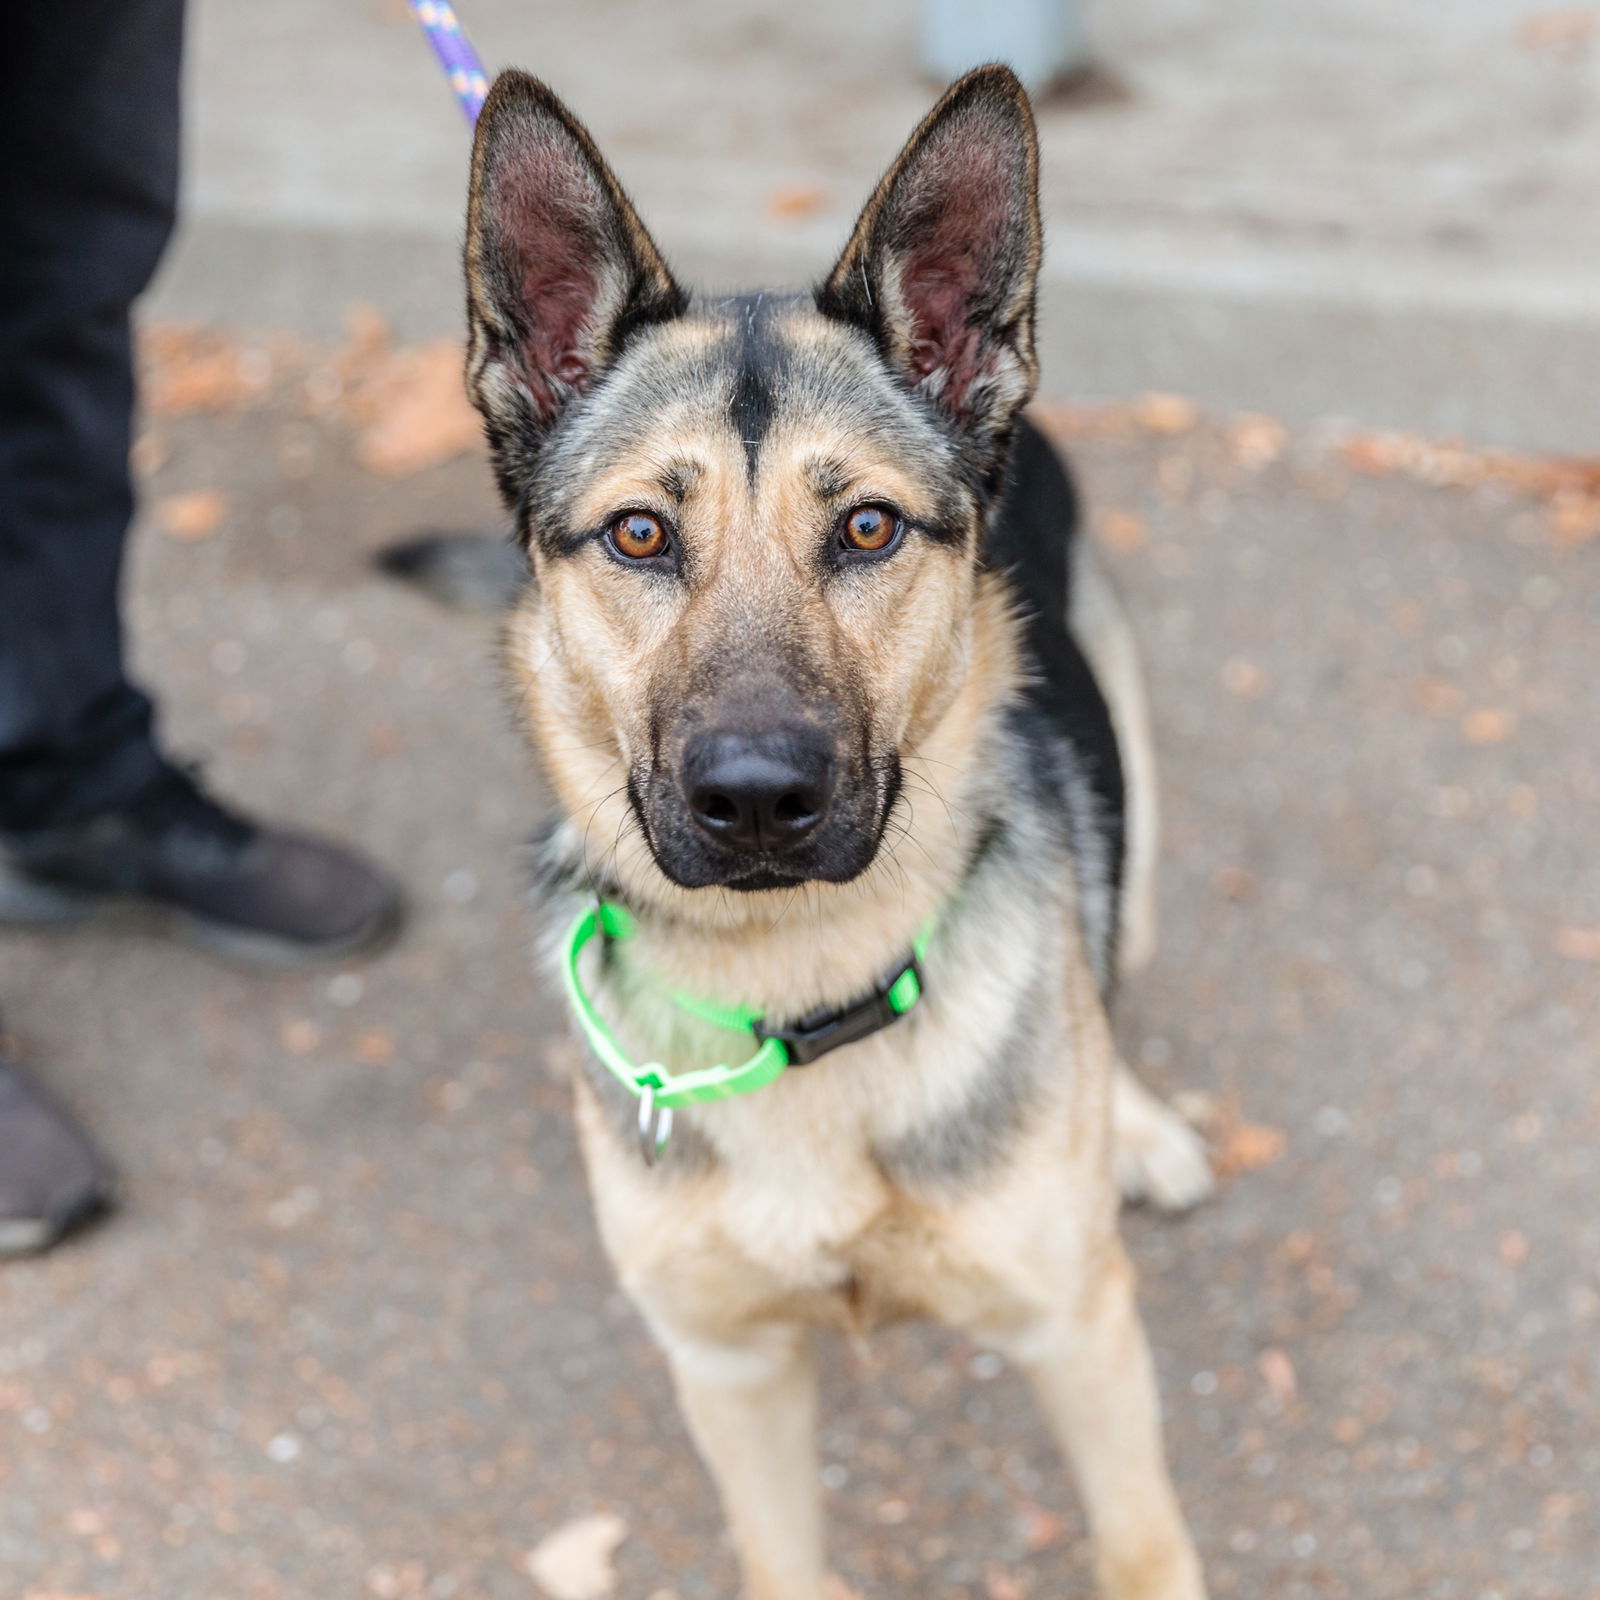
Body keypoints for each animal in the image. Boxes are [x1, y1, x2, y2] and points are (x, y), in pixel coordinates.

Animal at [451, 62, 1209, 1600]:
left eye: (866, 528)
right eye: (637, 537)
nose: (755, 798)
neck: (801, 990)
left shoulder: (1079, 1336)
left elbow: (1144, 1544)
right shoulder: (729, 1369)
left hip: (1140, 843)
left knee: (1107, 958)